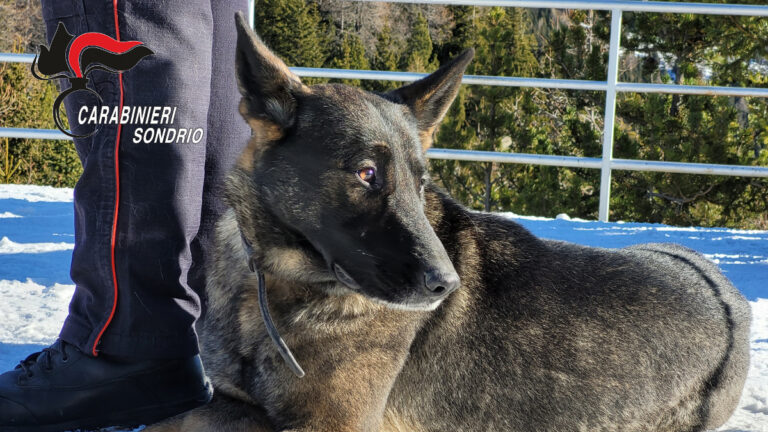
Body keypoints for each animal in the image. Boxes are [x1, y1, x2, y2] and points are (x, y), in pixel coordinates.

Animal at [148, 11, 752, 430]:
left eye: (421, 182)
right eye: (367, 173)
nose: (446, 285)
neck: (278, 283)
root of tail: (727, 299)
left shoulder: (327, 424)